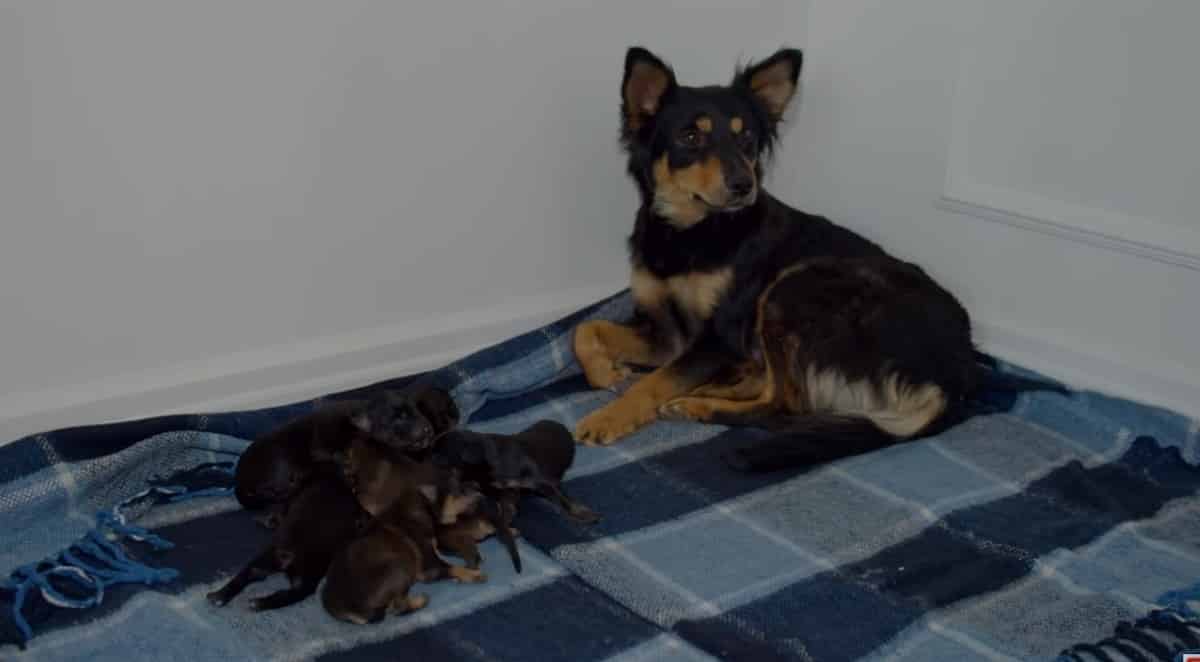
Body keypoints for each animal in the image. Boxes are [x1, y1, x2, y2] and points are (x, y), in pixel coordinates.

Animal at [208, 474, 369, 609]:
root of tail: (289, 556)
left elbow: (274, 517)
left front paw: (264, 520)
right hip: (304, 569)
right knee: (295, 591)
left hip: (279, 559)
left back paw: (235, 598)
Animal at [434, 422, 597, 525]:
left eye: (439, 458)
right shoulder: (507, 489)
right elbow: (507, 506)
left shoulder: (540, 480)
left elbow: (562, 499)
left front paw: (582, 513)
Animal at [571, 45, 1060, 470]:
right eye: (690, 136)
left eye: (746, 137)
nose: (743, 185)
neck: (693, 231)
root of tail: (957, 373)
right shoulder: (667, 334)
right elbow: (586, 330)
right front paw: (605, 372)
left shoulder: (716, 338)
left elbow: (655, 380)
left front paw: (608, 416)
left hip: (794, 286)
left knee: (783, 405)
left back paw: (699, 403)